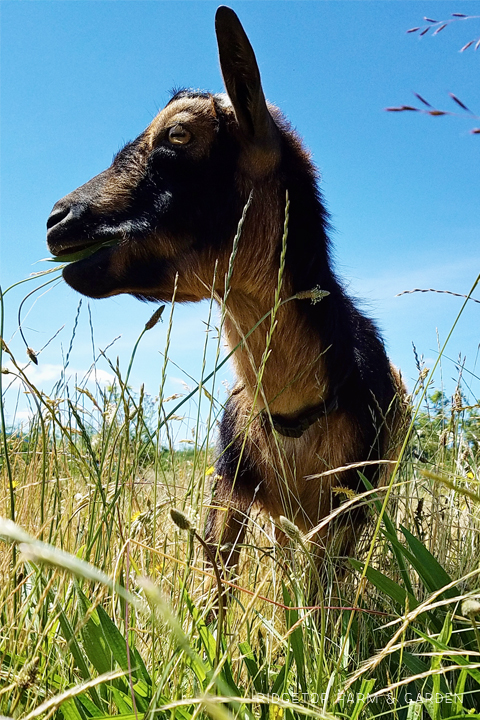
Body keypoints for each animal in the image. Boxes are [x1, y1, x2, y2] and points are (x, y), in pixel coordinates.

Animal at [47, 5, 406, 580]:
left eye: (178, 135)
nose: (58, 221)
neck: (295, 411)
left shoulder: (346, 515)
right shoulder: (228, 489)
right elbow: (216, 581)